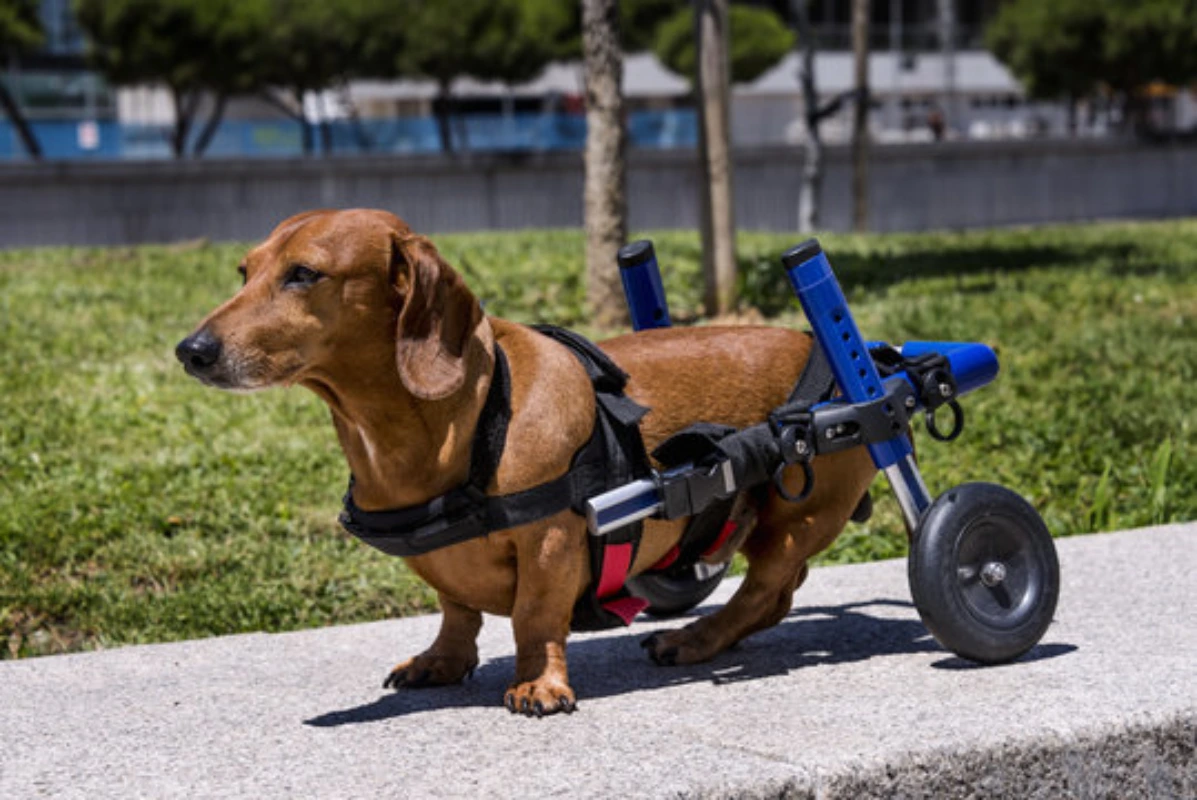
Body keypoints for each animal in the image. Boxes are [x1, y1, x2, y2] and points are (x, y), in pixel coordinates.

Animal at [174, 209, 871, 713]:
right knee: (774, 595)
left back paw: (694, 637)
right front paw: (442, 660)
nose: (190, 351)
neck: (468, 415)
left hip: (796, 518)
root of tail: (856, 360)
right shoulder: (443, 566)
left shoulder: (550, 543)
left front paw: (540, 684)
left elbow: (535, 619)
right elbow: (456, 611)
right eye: (244, 271)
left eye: (303, 274)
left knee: (764, 591)